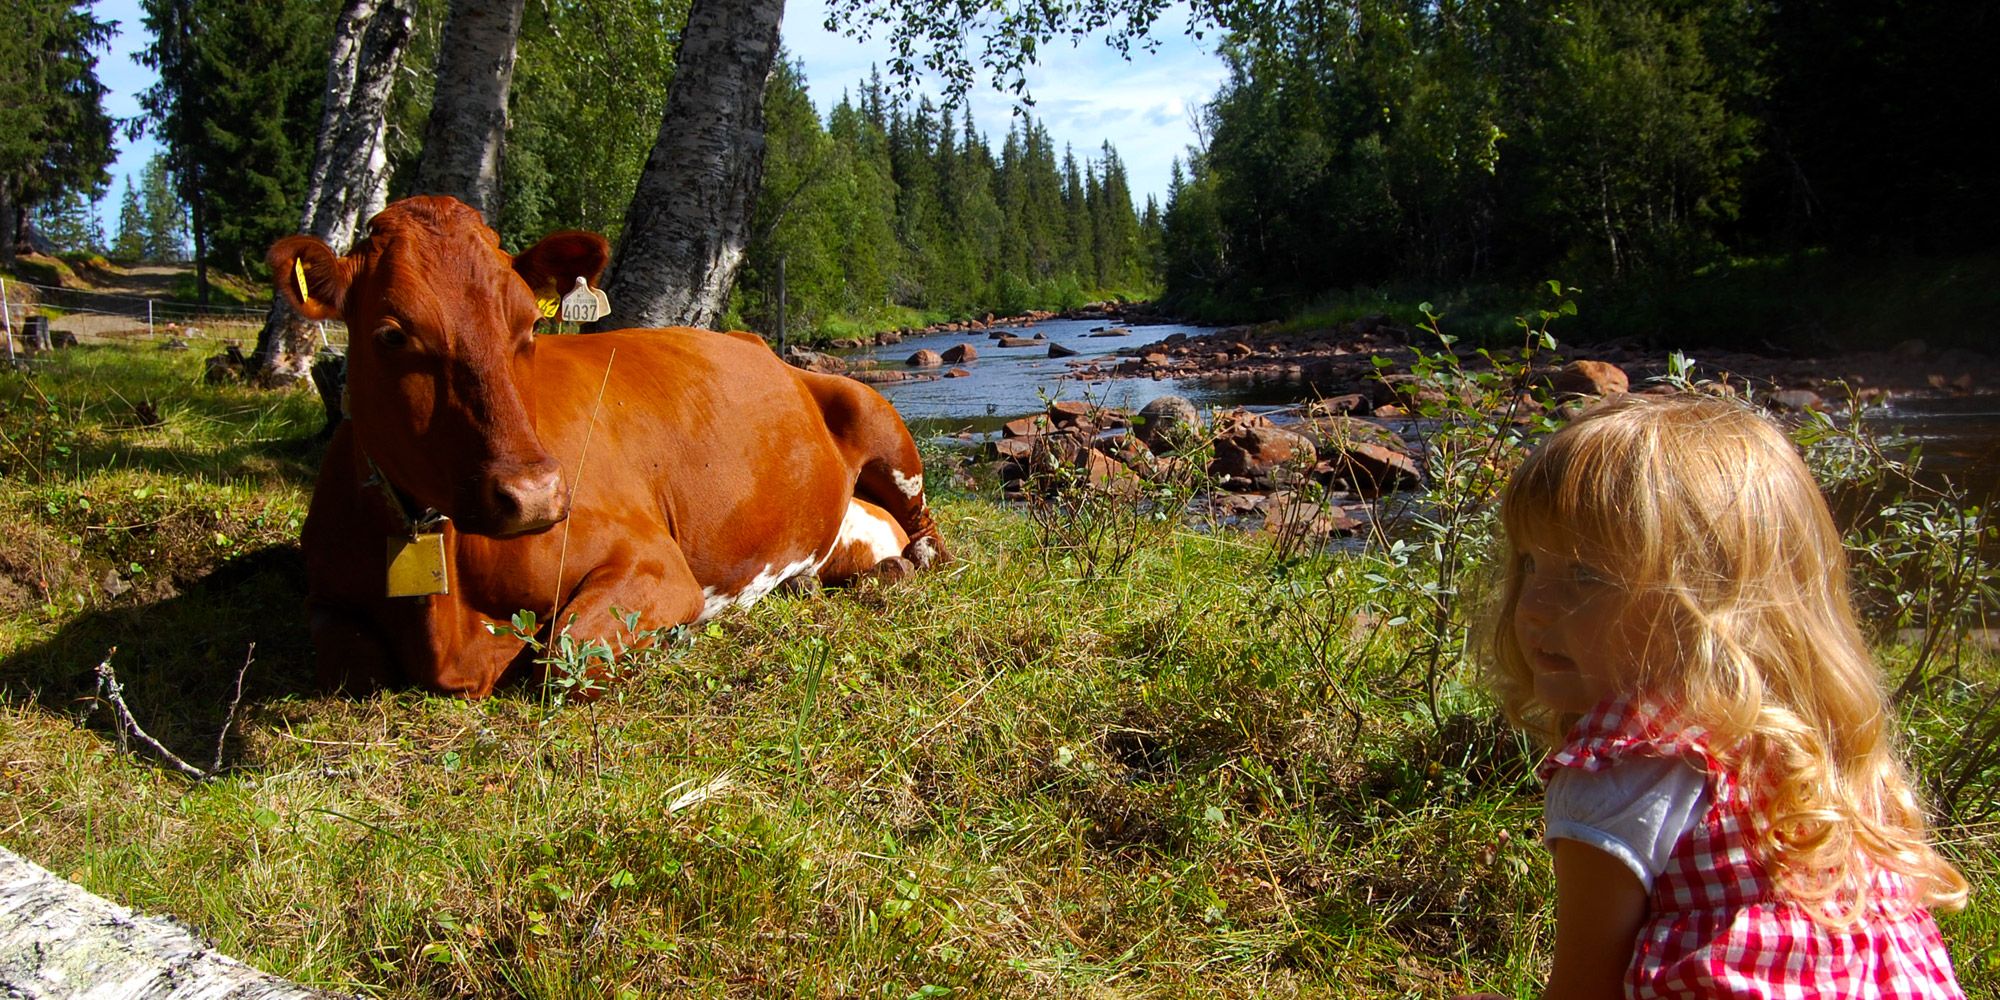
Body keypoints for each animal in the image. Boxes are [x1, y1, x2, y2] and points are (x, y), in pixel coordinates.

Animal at [271, 196, 946, 697]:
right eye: (390, 333)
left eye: (529, 325)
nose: (534, 495)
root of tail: (757, 342)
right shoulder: (324, 595)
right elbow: (354, 665)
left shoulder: (658, 565)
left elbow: (564, 653)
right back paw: (815, 581)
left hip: (877, 417)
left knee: (928, 535)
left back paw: (903, 565)